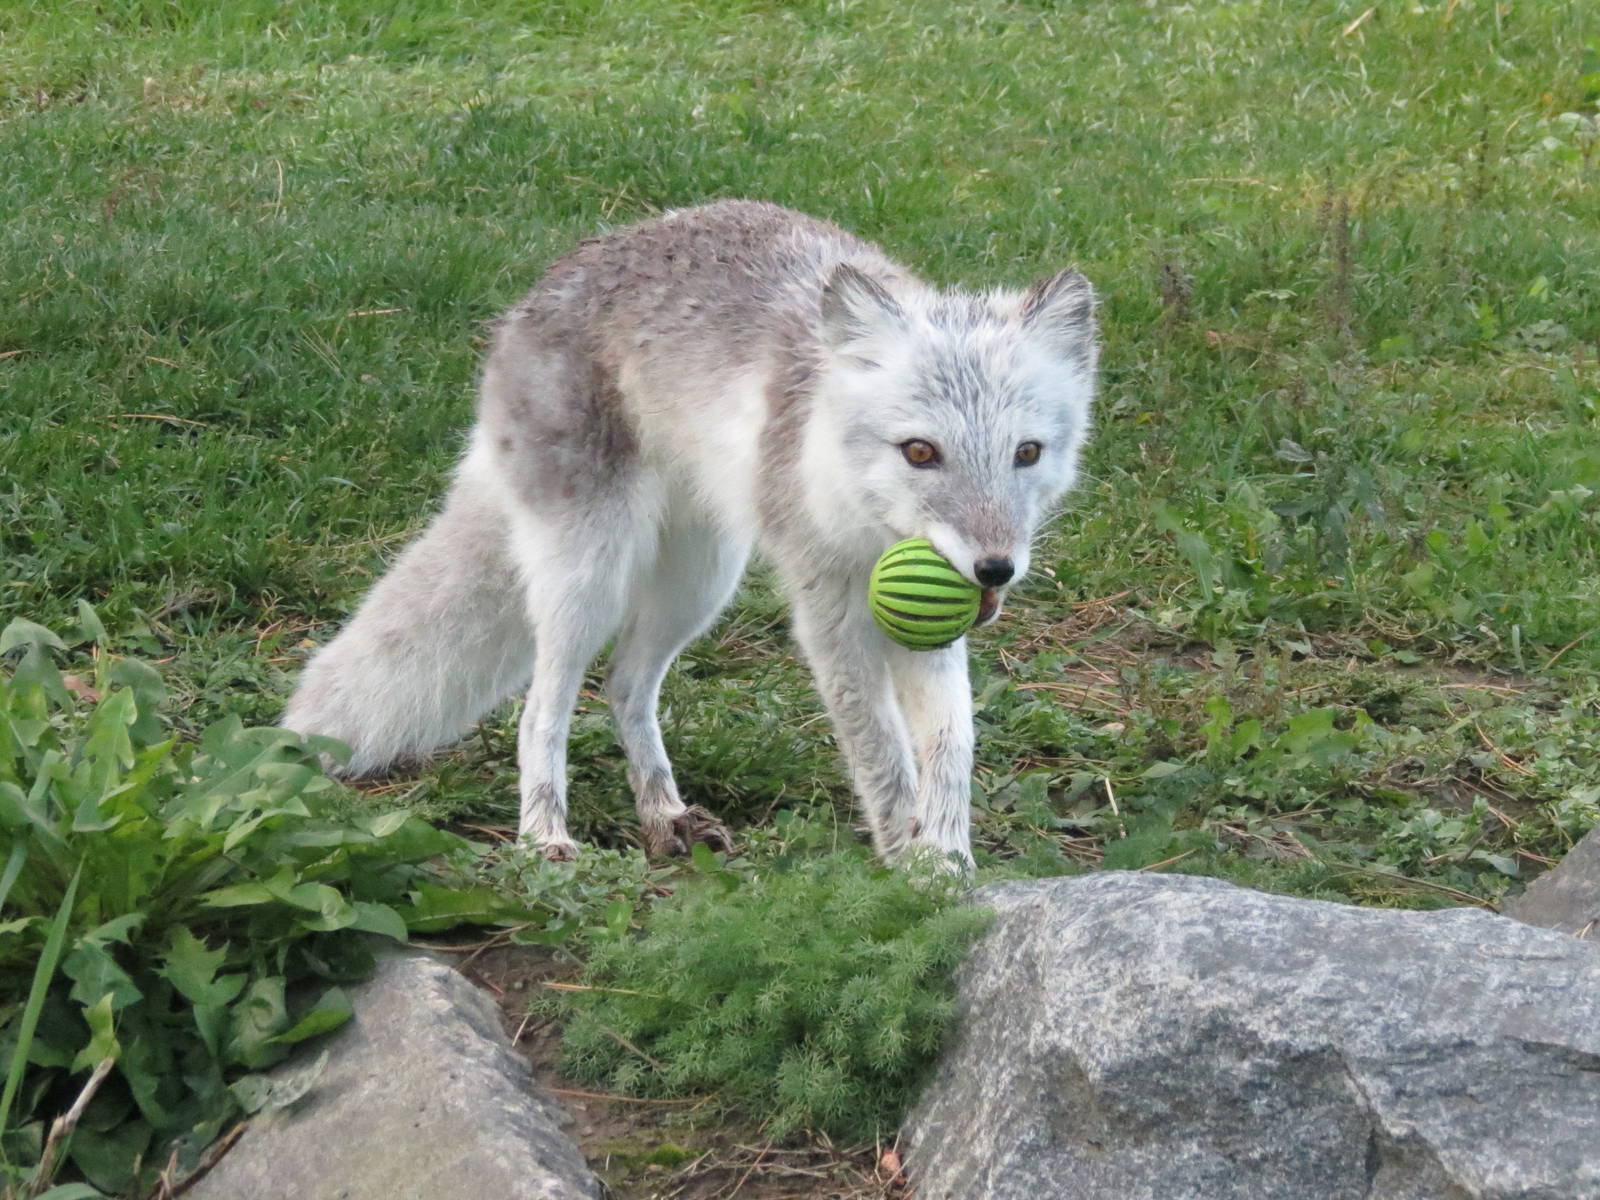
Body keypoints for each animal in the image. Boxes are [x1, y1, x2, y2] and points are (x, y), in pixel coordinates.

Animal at [281, 200, 1098, 867]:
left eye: (1027, 453)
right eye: (921, 453)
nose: (994, 570)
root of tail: (531, 300)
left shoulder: (925, 623)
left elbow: (950, 748)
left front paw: (950, 863)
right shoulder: (827, 608)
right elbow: (883, 754)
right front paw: (914, 878)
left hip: (699, 583)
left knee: (623, 687)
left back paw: (663, 814)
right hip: (592, 579)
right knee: (543, 708)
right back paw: (544, 836)